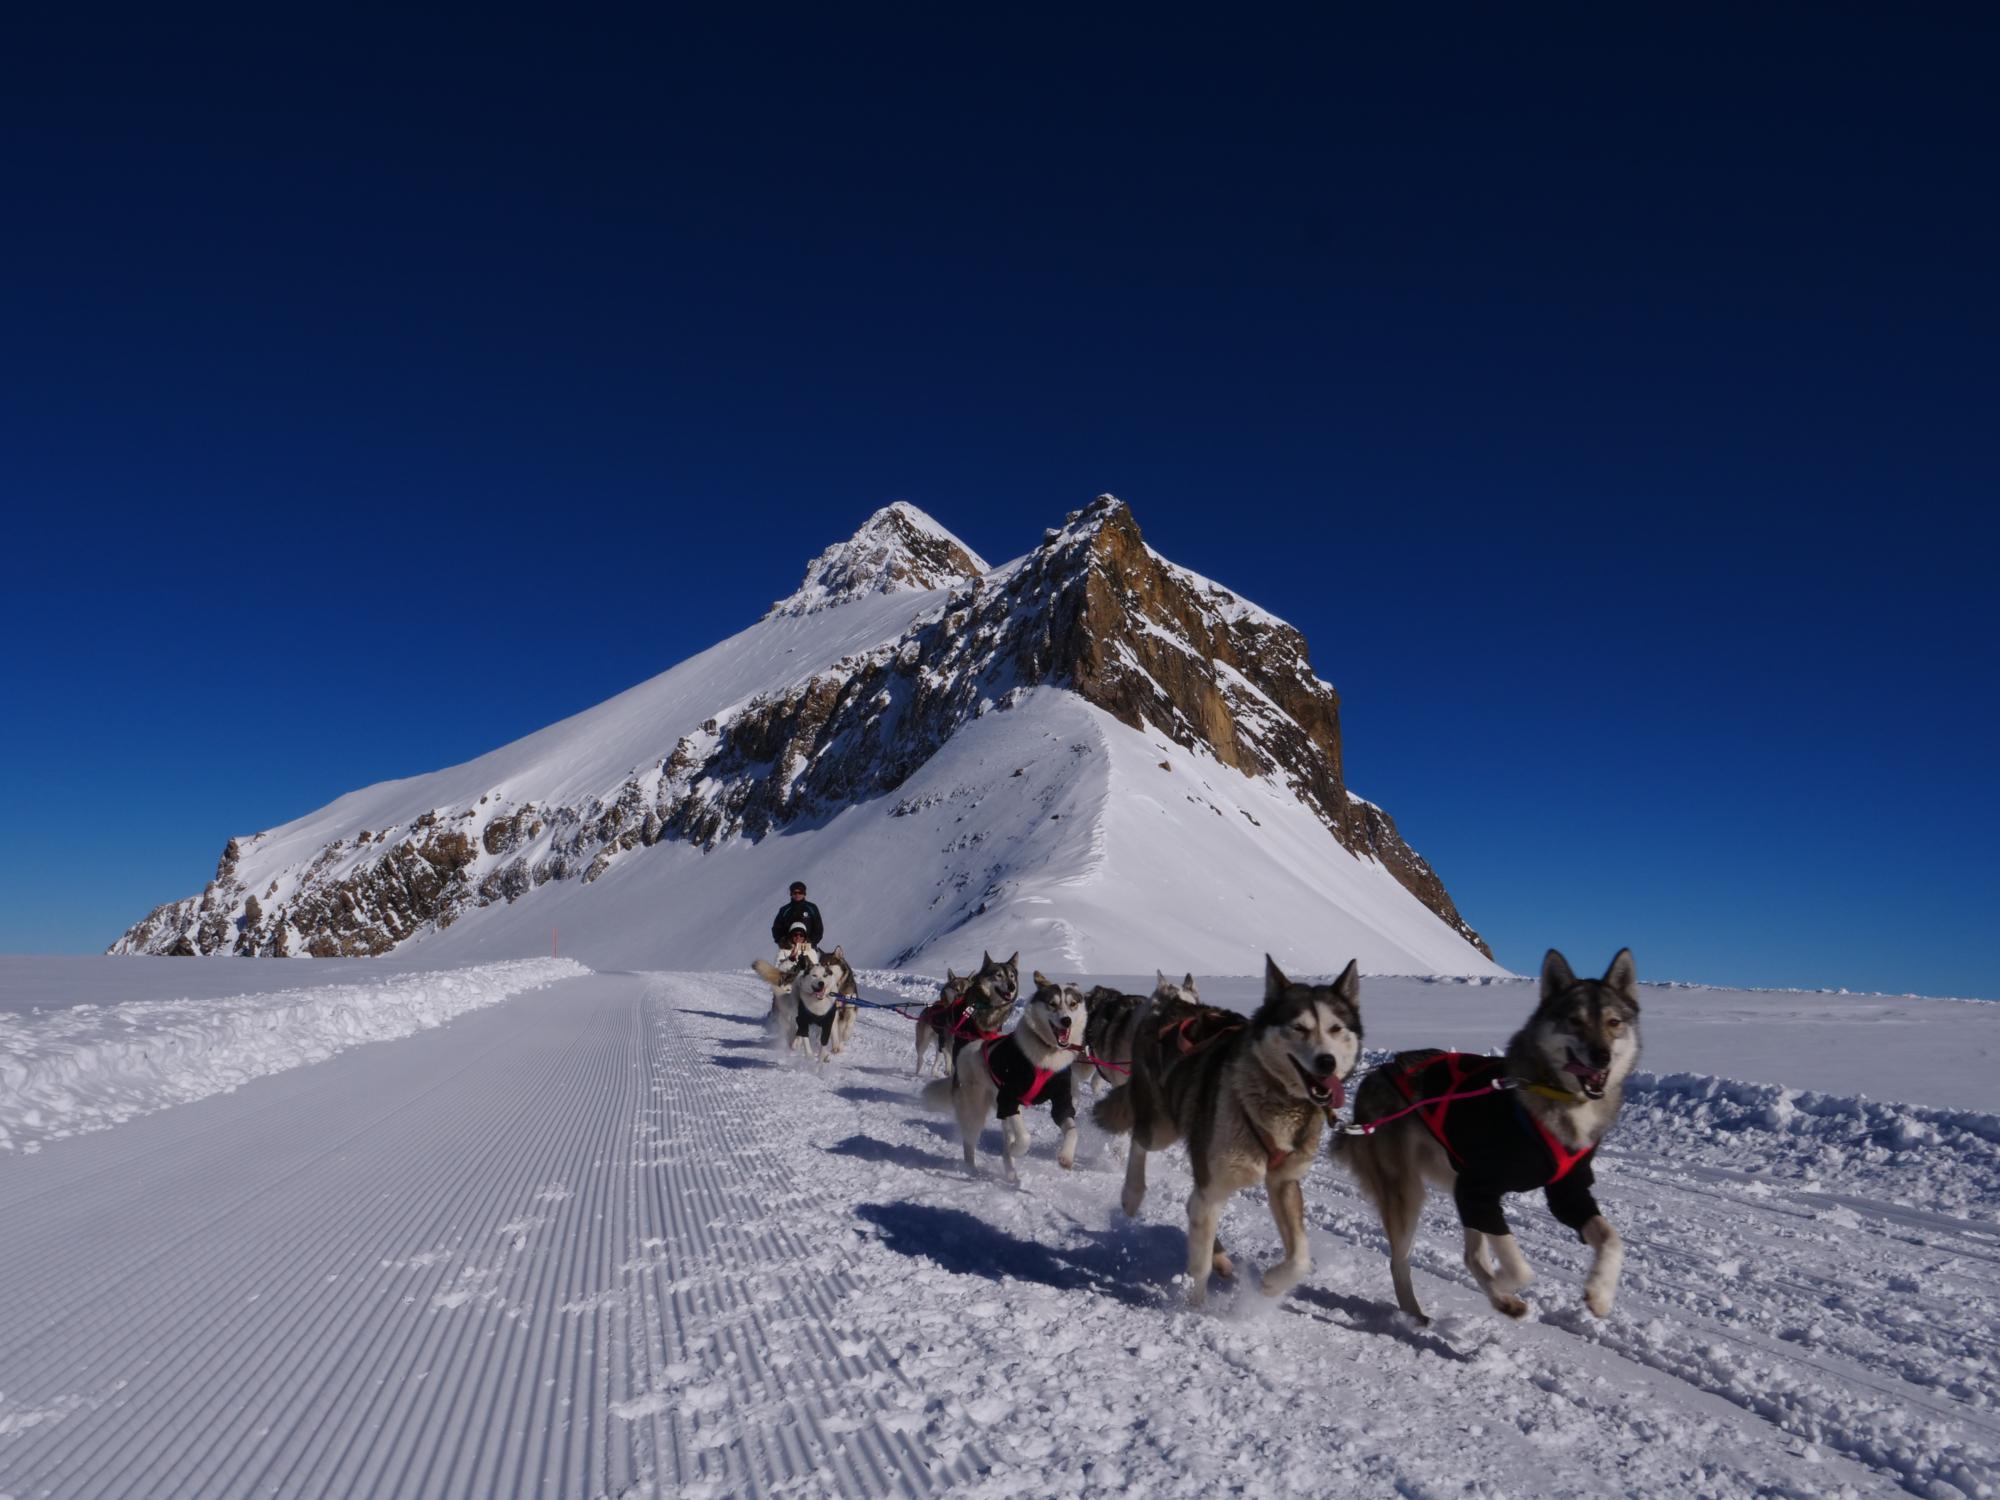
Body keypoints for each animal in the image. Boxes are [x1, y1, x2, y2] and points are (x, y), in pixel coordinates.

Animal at [916, 952, 1024, 1080]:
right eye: (956, 989)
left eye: (967, 989)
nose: (1012, 986)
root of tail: (927, 1009)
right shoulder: (953, 1044)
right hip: (924, 1043)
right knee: (921, 1057)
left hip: (939, 1044)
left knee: (938, 1058)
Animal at [924, 976, 1088, 1184]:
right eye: (1052, 1004)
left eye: (1073, 1004)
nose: (1066, 1020)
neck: (1047, 1053)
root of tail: (964, 1054)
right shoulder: (1008, 1098)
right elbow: (1025, 1137)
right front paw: (1016, 1150)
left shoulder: (1061, 1101)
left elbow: (1073, 1131)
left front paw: (1066, 1157)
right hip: (975, 1111)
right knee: (969, 1142)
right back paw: (973, 1170)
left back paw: (1010, 1173)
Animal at [1096, 964, 1360, 1304]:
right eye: (1298, 1027)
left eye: (1336, 1028)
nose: (1327, 1061)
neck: (1272, 1100)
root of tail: (1169, 1007)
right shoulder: (1213, 1185)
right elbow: (1199, 1266)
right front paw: (1196, 1308)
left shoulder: (1283, 1182)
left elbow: (1300, 1258)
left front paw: (1271, 1284)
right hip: (1161, 1129)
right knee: (1139, 1140)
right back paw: (1132, 1194)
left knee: (1191, 1207)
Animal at [1328, 952, 1640, 1328]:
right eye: (1574, 1021)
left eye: (1613, 1022)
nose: (1601, 1055)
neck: (1555, 1096)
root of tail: (1375, 1076)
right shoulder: (1478, 1188)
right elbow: (1520, 1269)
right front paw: (1502, 1283)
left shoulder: (1567, 1191)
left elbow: (1612, 1240)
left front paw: (1600, 1293)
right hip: (1409, 1192)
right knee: (1401, 1261)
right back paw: (1419, 1313)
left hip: (1453, 1178)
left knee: (1469, 1253)